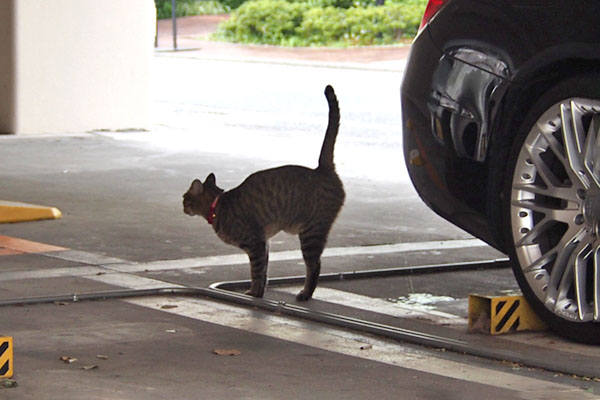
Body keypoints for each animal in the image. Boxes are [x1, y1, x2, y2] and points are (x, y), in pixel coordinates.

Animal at [182, 86, 342, 302]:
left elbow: (256, 272)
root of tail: (321, 169)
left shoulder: (255, 243)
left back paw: (305, 294)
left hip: (311, 233)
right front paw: (259, 292)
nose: (182, 206)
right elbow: (264, 272)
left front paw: (255, 294)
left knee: (314, 265)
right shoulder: (264, 244)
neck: (218, 204)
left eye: (185, 198)